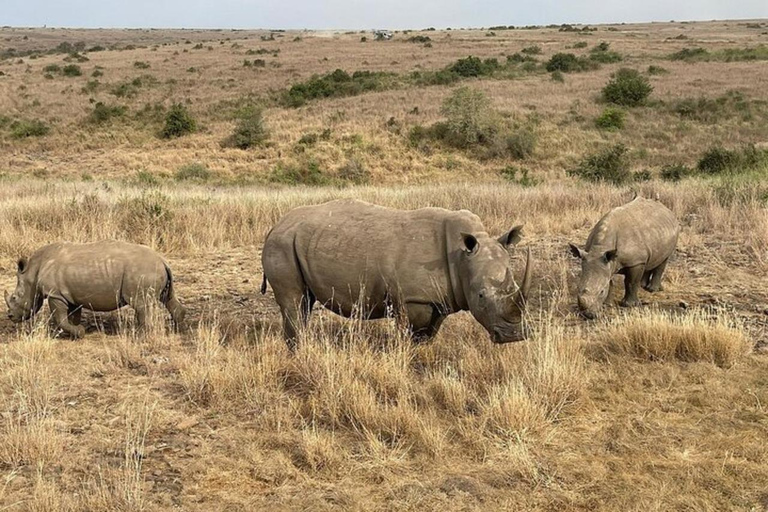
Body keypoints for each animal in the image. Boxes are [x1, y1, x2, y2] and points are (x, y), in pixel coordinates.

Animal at [5, 242, 187, 338]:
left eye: (15, 297)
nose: (10, 316)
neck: (33, 271)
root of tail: (162, 260)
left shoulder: (55, 294)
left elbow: (60, 318)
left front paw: (79, 333)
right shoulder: (69, 295)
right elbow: (72, 316)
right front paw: (75, 333)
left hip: (142, 271)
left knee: (141, 305)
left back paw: (139, 335)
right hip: (154, 270)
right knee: (167, 298)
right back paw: (177, 329)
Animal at [260, 198, 532, 350]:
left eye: (515, 289)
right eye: (481, 296)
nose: (514, 336)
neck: (461, 257)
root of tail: (275, 225)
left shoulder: (439, 300)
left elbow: (426, 335)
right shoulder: (411, 299)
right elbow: (407, 335)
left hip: (299, 242)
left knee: (305, 301)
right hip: (281, 244)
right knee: (294, 301)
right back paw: (298, 351)